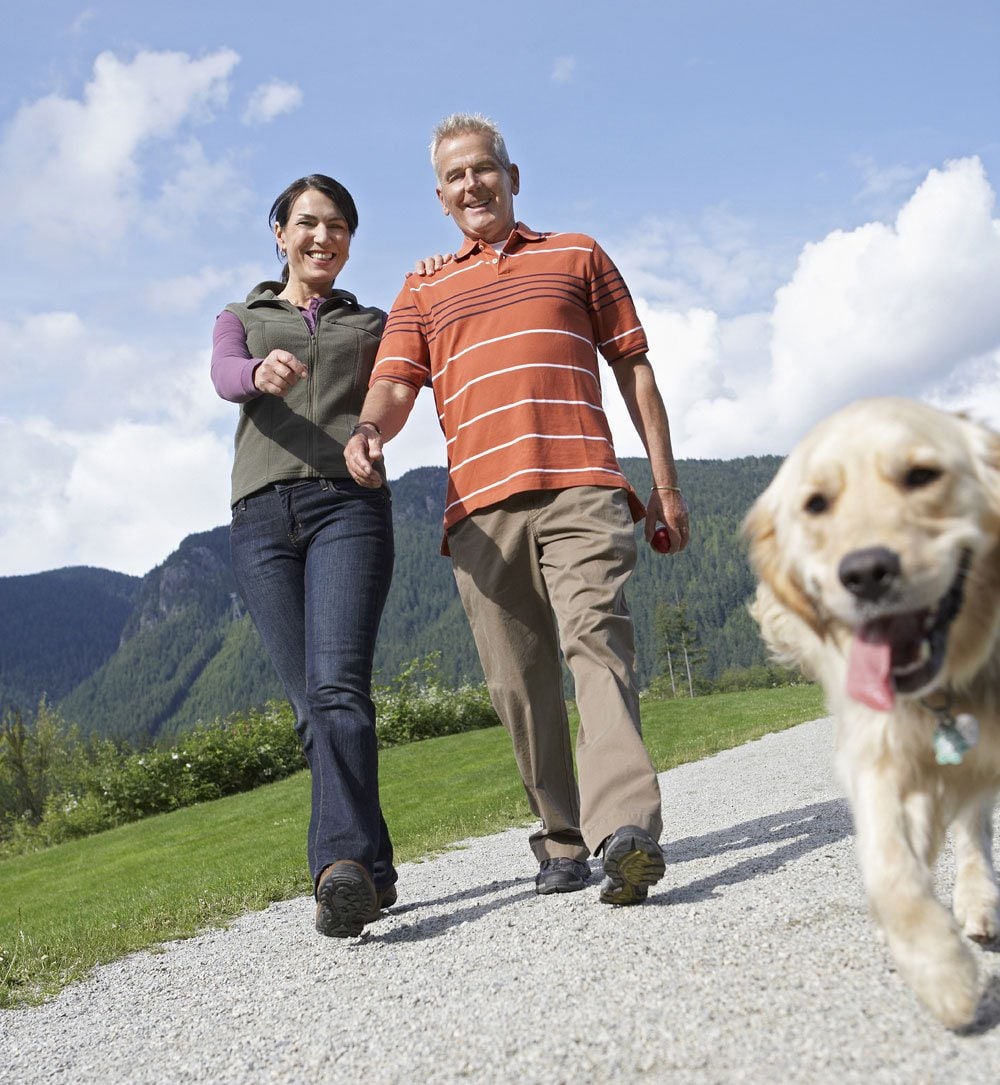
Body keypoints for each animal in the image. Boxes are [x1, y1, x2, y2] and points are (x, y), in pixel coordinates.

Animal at [741, 399, 997, 1024]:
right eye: (816, 504)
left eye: (922, 475)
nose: (865, 572)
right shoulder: (876, 749)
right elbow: (889, 866)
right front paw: (941, 971)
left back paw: (976, 900)